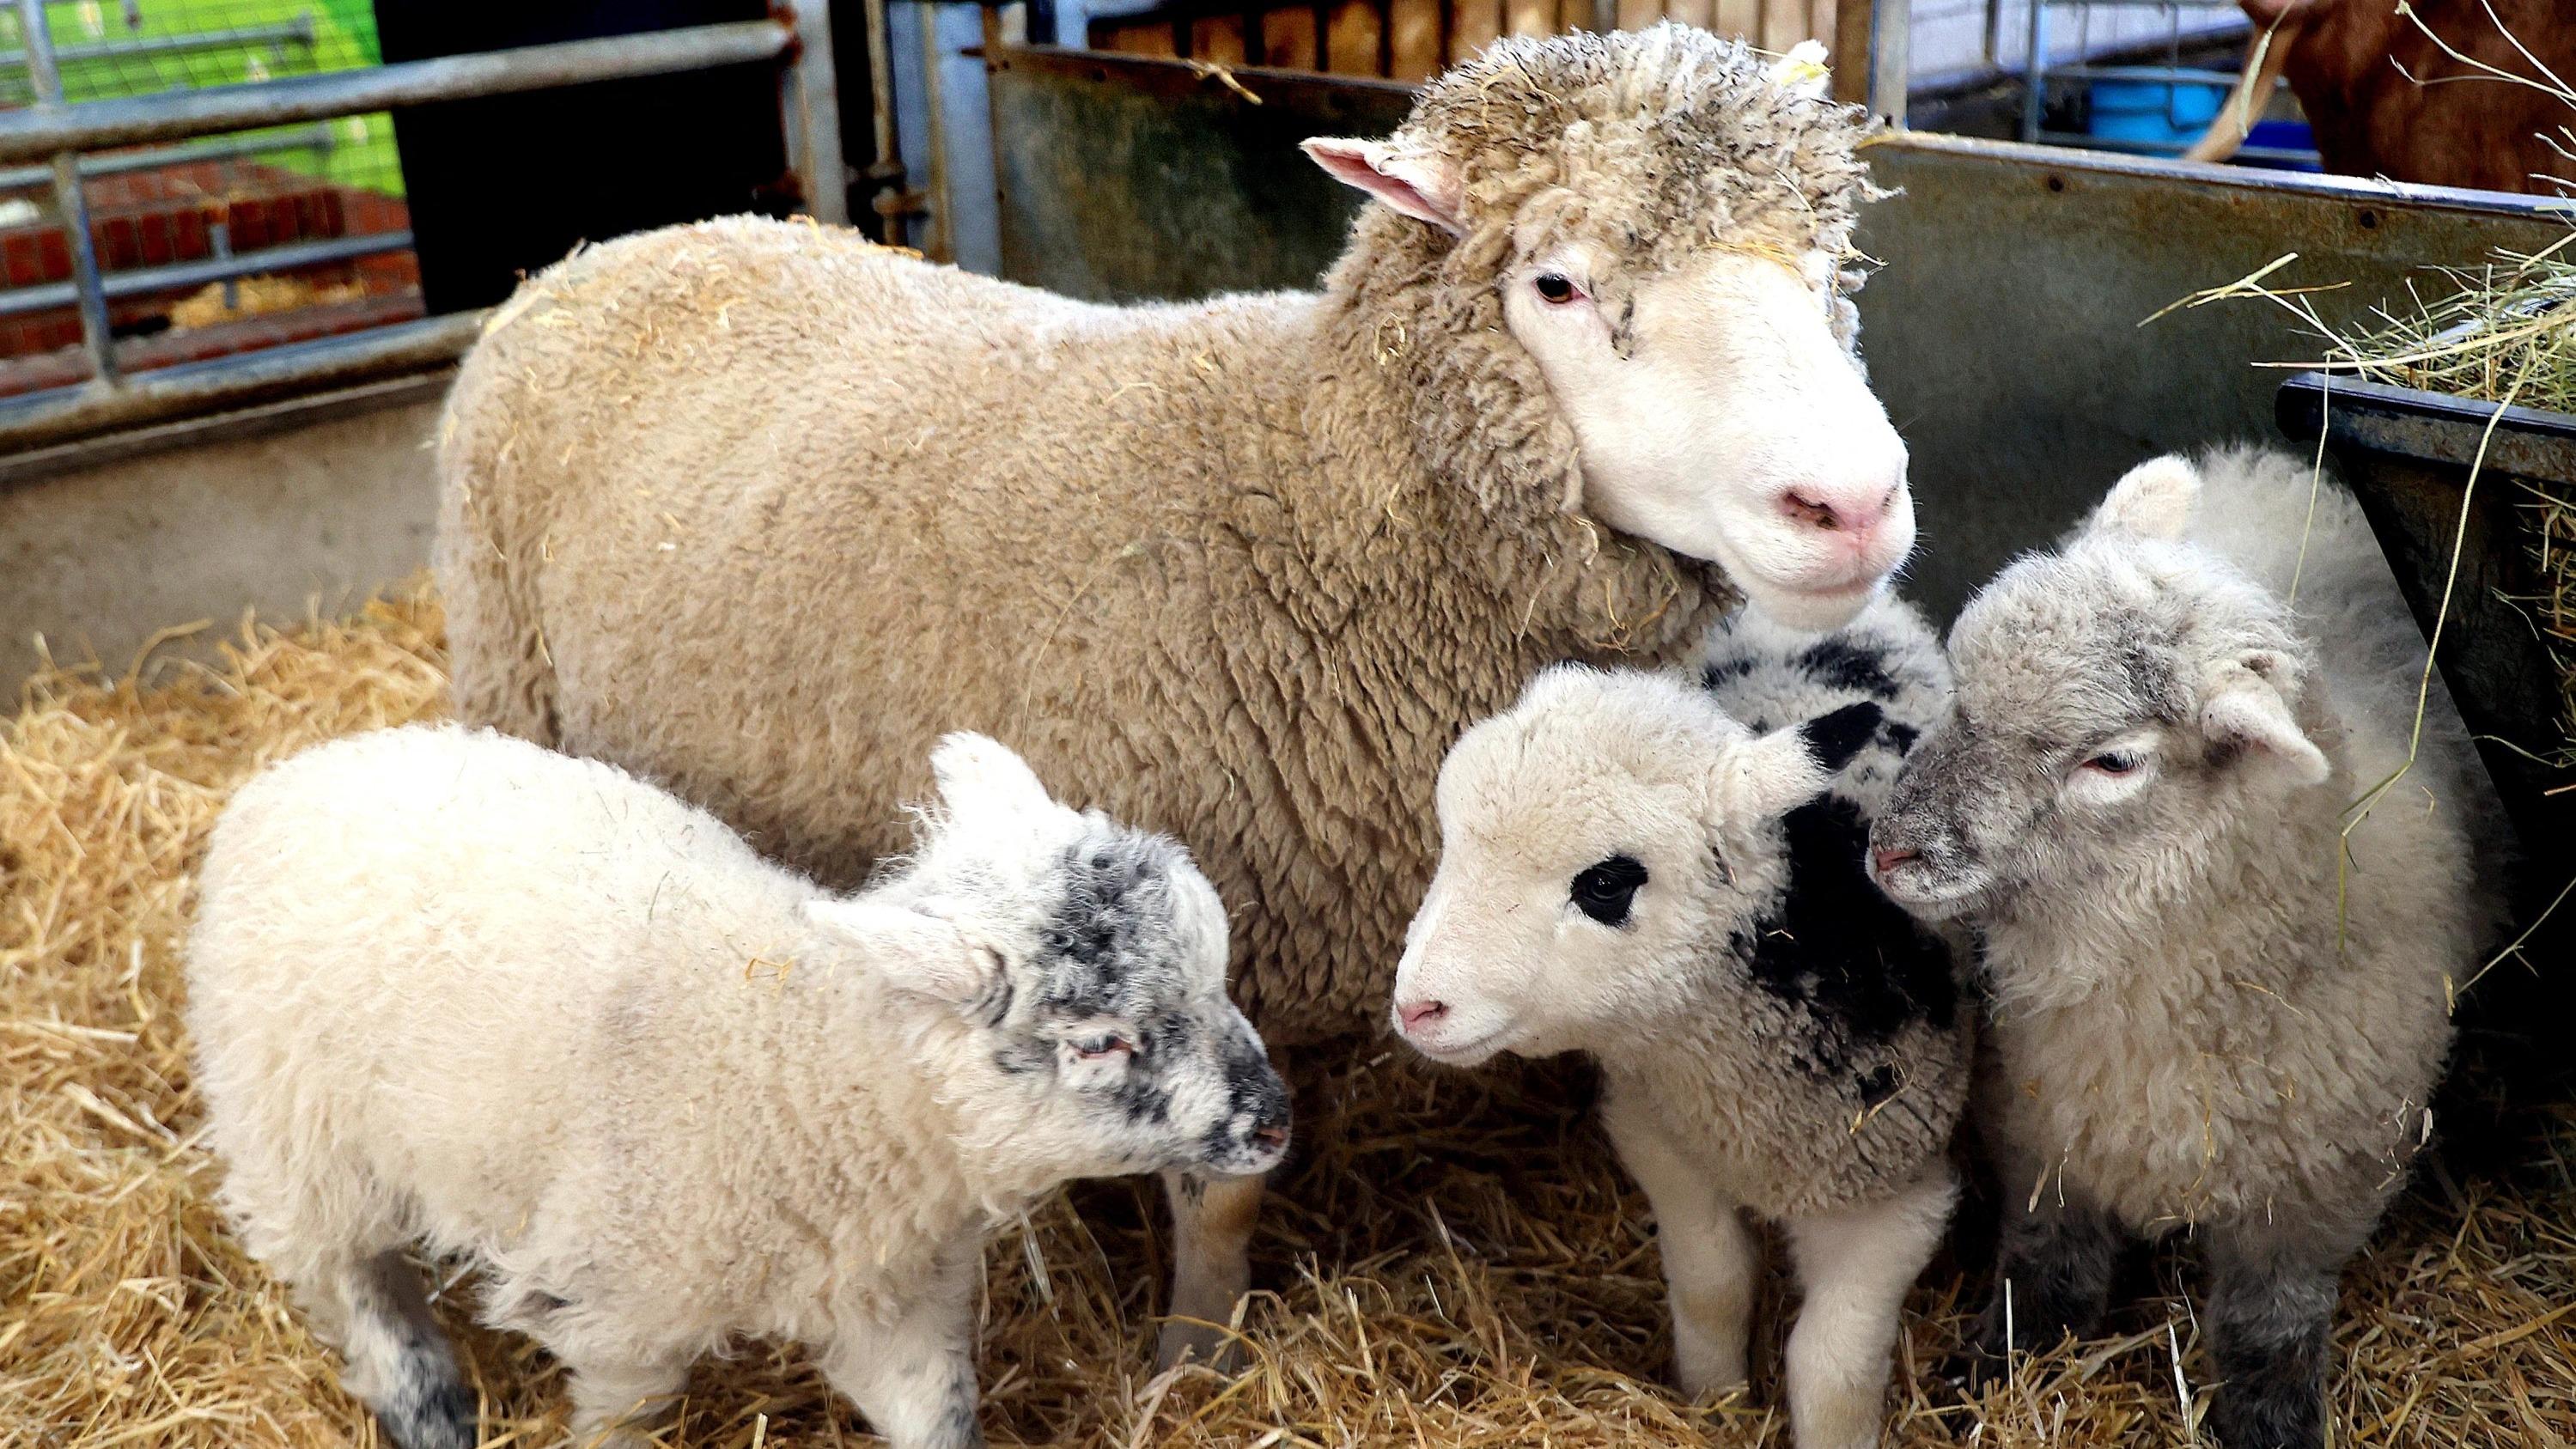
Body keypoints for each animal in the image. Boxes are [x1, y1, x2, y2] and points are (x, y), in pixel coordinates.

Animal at [186, 725, 1288, 1449]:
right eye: (1100, 1041)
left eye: (1216, 966)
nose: (1275, 1119)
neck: (815, 1068)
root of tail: (298, 769)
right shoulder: (619, 1304)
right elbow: (616, 1425)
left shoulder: (894, 1300)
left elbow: (936, 1417)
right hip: (295, 1129)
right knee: (349, 1277)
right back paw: (429, 1406)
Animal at [427, 22, 1916, 1369]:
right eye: (1555, 283)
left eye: (1821, 265)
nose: (1850, 504)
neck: (1305, 515)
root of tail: (620, 244)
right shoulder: (1198, 939)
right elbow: (1221, 1192)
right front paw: (1190, 1353)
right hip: (507, 675)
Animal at [1391, 589, 1968, 1449]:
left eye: (1604, 883)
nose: (1416, 1005)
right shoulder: (1660, 1138)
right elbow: (1712, 1284)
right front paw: (1715, 1403)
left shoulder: (1898, 1194)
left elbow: (1830, 1366)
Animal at [1865, 450, 2504, 1449]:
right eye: (1959, 697)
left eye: (2112, 761)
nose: (1886, 850)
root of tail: (2284, 473)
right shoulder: (2045, 1135)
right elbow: (2044, 1263)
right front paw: (1991, 1366)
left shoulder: (2311, 1194)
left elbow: (2267, 1322)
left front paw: (2270, 1422)